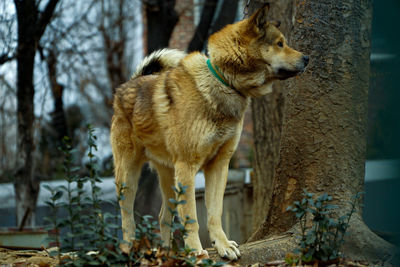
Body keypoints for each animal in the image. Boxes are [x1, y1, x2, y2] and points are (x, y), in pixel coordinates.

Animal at [111, 3, 308, 260]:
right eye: (280, 43)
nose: (307, 58)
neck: (223, 81)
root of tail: (130, 83)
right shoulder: (187, 167)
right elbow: (192, 218)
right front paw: (196, 250)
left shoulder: (219, 165)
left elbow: (215, 212)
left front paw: (222, 245)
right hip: (129, 177)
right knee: (126, 216)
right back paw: (129, 248)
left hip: (169, 178)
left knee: (163, 217)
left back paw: (167, 254)